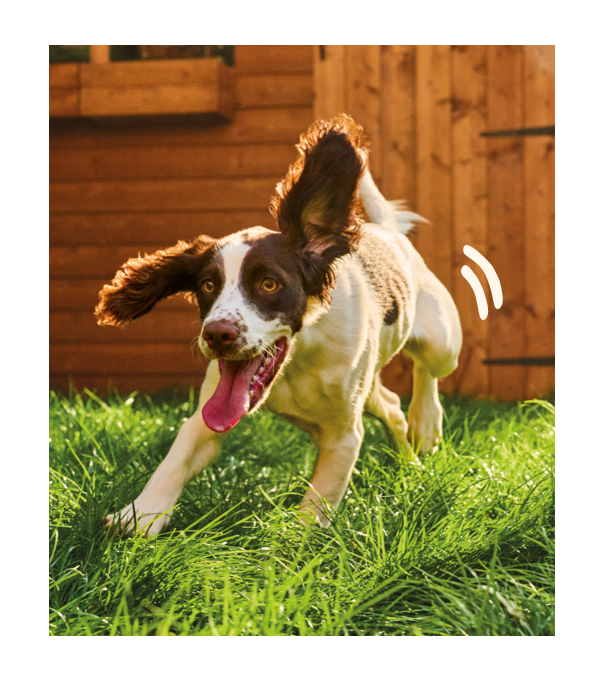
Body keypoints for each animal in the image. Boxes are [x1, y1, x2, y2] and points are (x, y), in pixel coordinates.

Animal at [96, 114, 460, 536]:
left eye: (269, 284)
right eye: (208, 285)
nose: (217, 334)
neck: (296, 361)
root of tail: (387, 232)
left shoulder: (343, 437)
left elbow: (316, 505)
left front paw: (290, 541)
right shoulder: (208, 416)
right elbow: (179, 455)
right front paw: (139, 515)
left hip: (443, 343)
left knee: (426, 372)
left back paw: (426, 420)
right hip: (370, 386)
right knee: (391, 407)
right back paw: (409, 459)